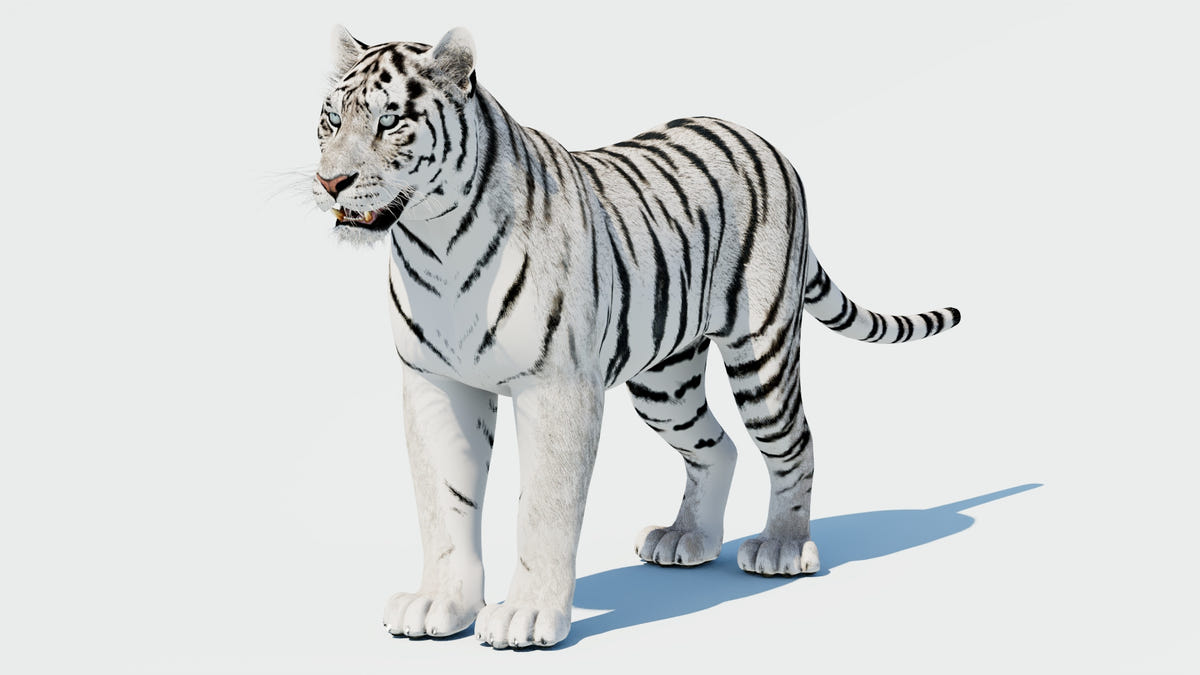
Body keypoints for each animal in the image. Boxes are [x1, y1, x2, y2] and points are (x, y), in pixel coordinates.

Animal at [312, 26, 961, 649]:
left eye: (390, 121)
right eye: (333, 119)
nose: (329, 181)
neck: (435, 242)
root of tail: (760, 138)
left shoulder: (557, 390)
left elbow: (543, 508)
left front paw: (527, 616)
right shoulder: (434, 382)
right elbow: (443, 502)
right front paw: (438, 605)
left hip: (762, 353)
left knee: (794, 443)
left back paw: (780, 546)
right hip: (664, 384)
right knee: (716, 446)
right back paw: (685, 538)